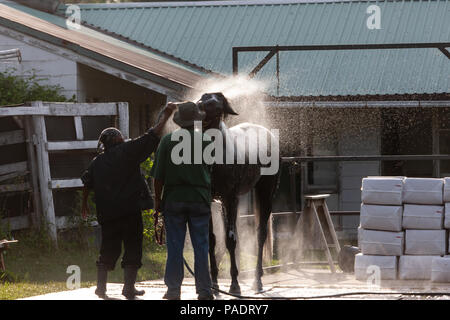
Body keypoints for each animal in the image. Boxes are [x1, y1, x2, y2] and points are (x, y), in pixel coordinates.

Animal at [196, 91, 280, 294]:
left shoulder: (230, 199)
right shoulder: (209, 202)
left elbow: (230, 240)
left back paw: (257, 281)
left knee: (261, 234)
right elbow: (211, 240)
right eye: (203, 97)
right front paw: (214, 284)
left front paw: (234, 285)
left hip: (266, 193)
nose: (200, 106)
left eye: (217, 103)